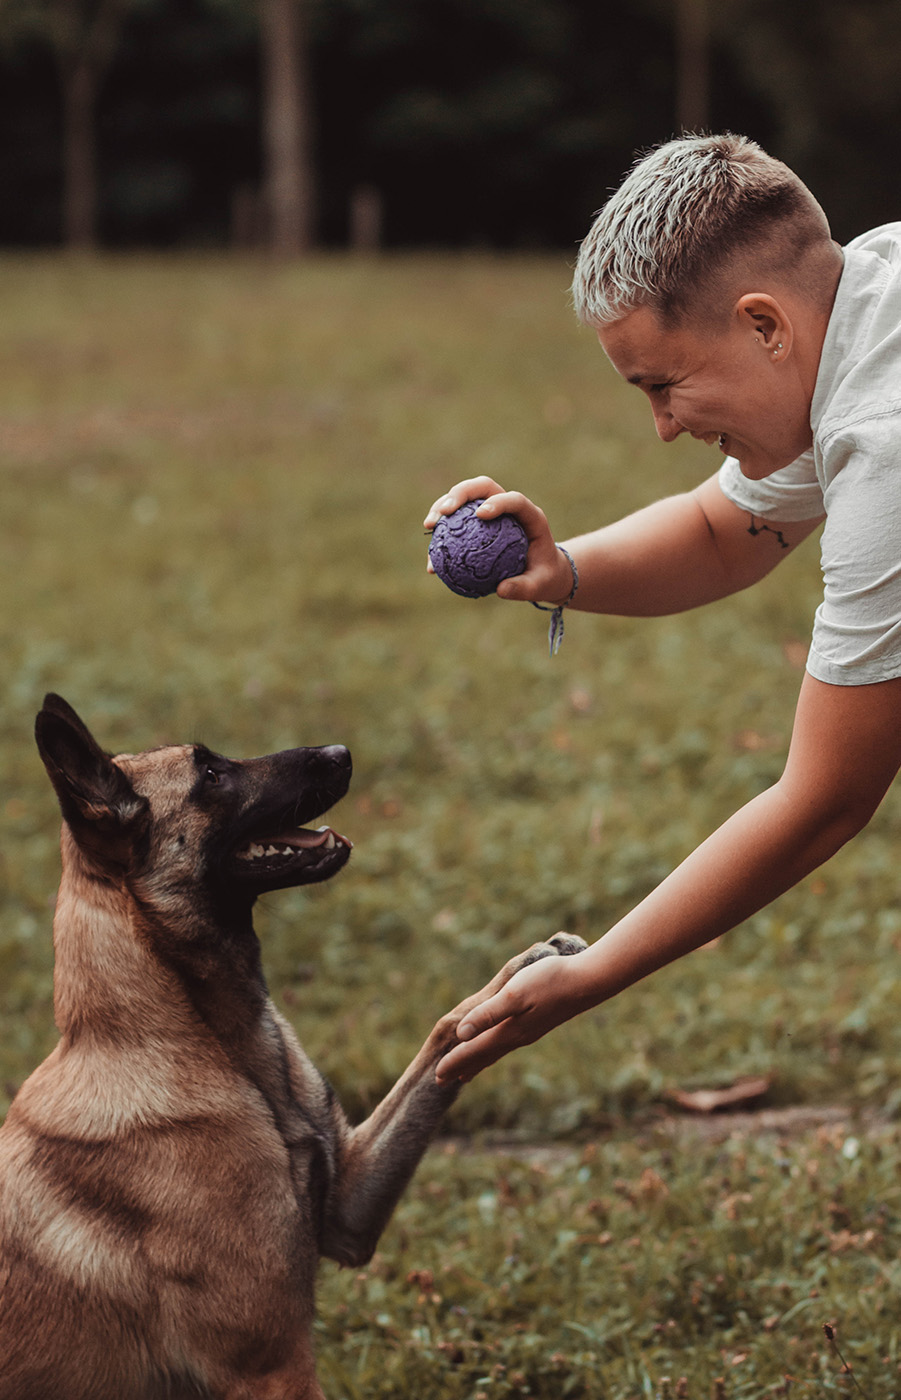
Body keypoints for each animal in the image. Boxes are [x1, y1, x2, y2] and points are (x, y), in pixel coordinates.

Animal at [0, 694, 587, 1394]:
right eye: (211, 775)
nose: (343, 753)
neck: (207, 1040)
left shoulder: (348, 1209)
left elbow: (446, 1034)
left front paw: (526, 974)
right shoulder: (273, 1364)